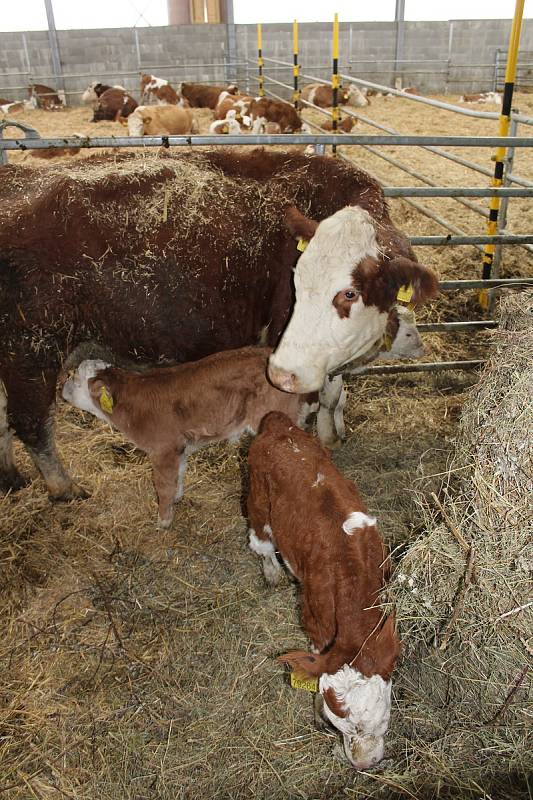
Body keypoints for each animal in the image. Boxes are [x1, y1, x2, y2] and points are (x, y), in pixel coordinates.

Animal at [0, 150, 436, 500]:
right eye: (296, 280)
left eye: (349, 293)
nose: (282, 371)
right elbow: (312, 403)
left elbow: (334, 396)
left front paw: (333, 435)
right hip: (31, 352)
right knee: (32, 424)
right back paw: (64, 488)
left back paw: (10, 477)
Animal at [61, 346, 316, 528]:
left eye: (76, 379)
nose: (62, 388)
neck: (131, 406)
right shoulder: (178, 448)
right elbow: (179, 475)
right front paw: (177, 498)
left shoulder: (163, 450)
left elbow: (163, 485)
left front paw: (163, 521)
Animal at [246, 412, 400, 768]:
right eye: (337, 725)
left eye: (382, 721)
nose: (364, 765)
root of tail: (276, 423)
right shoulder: (315, 620)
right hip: (256, 501)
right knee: (260, 542)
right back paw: (272, 574)